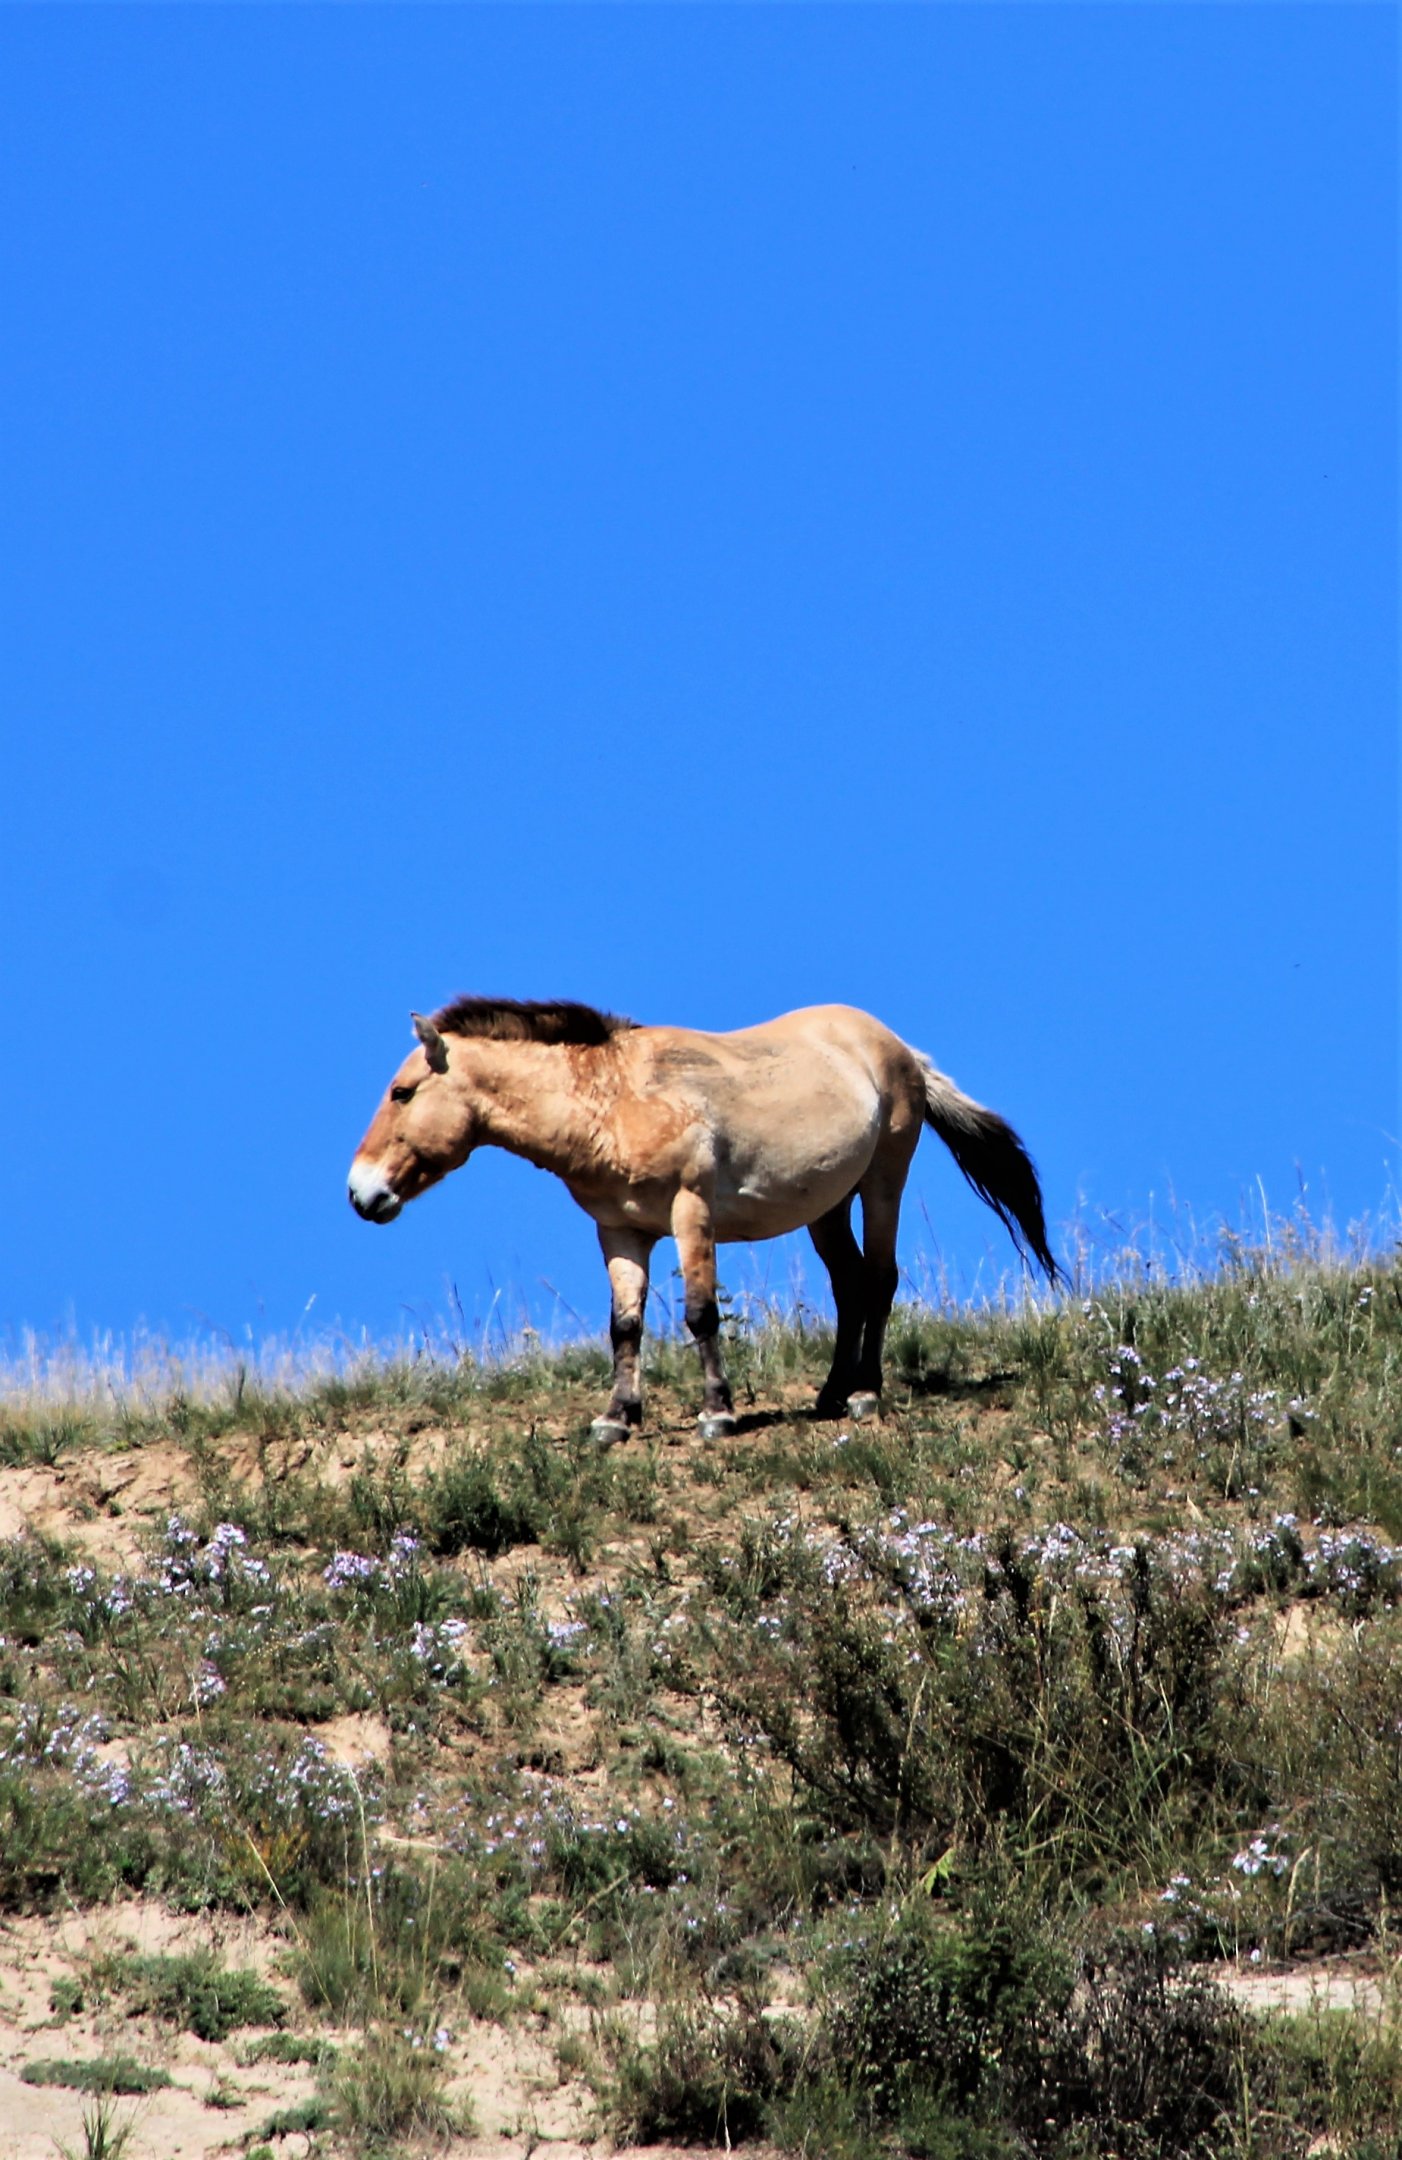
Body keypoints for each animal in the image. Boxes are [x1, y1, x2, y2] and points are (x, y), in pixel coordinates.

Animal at [348, 998, 1058, 1441]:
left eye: (402, 1093)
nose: (361, 1193)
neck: (615, 1098)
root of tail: (896, 1046)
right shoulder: (621, 1230)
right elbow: (625, 1326)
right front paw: (617, 1418)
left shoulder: (691, 1212)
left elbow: (699, 1314)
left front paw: (718, 1412)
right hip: (826, 1206)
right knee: (850, 1285)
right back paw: (831, 1393)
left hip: (884, 1179)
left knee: (880, 1280)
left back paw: (864, 1393)